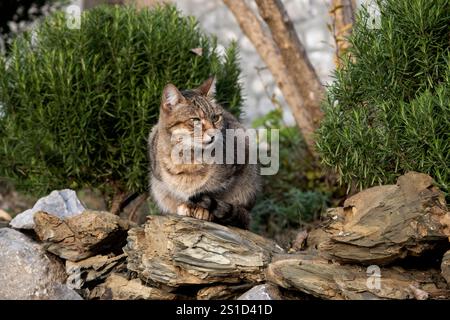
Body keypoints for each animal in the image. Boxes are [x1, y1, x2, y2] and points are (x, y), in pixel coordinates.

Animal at [148, 76, 260, 229]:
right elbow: (179, 192)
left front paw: (203, 209)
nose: (213, 134)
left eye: (215, 118)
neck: (189, 156)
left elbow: (214, 193)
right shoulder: (162, 181)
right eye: (195, 120)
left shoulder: (232, 173)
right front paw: (186, 205)